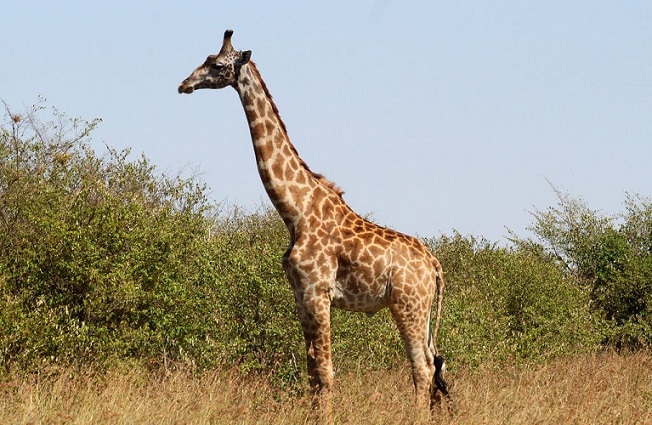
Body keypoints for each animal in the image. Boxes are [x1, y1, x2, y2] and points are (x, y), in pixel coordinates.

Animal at [178, 30, 451, 420]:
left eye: (216, 65)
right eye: (205, 58)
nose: (184, 84)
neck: (295, 211)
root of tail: (435, 265)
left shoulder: (317, 292)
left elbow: (325, 371)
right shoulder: (300, 294)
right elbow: (311, 372)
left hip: (407, 304)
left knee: (422, 367)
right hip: (422, 309)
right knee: (435, 363)